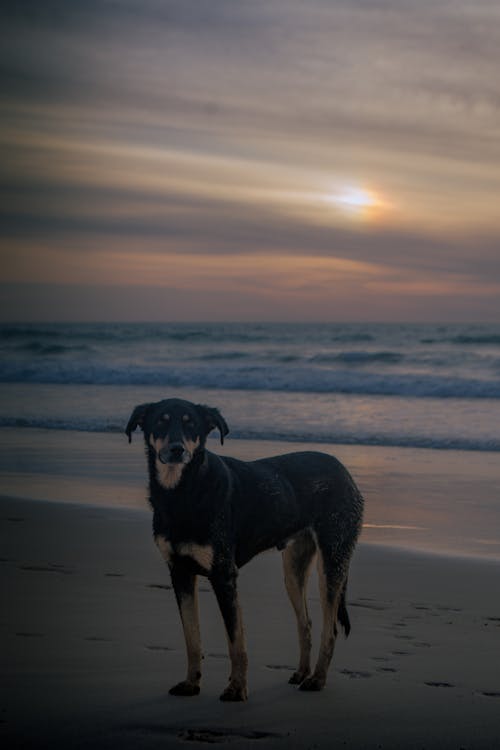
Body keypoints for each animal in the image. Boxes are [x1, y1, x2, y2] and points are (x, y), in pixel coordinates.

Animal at [126, 402, 364, 704]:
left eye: (191, 424)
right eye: (160, 421)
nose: (177, 450)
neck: (183, 492)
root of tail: (344, 470)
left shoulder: (224, 575)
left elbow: (235, 640)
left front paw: (237, 689)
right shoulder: (179, 574)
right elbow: (192, 638)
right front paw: (192, 683)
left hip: (333, 559)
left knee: (330, 628)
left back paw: (317, 679)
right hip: (294, 569)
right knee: (306, 623)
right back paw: (302, 673)